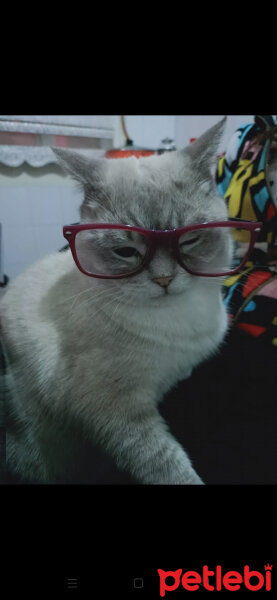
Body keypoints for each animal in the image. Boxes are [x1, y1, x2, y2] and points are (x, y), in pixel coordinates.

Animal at [0, 116, 229, 482]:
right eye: (126, 252)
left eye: (188, 241)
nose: (164, 280)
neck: (178, 324)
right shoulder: (116, 412)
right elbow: (166, 465)